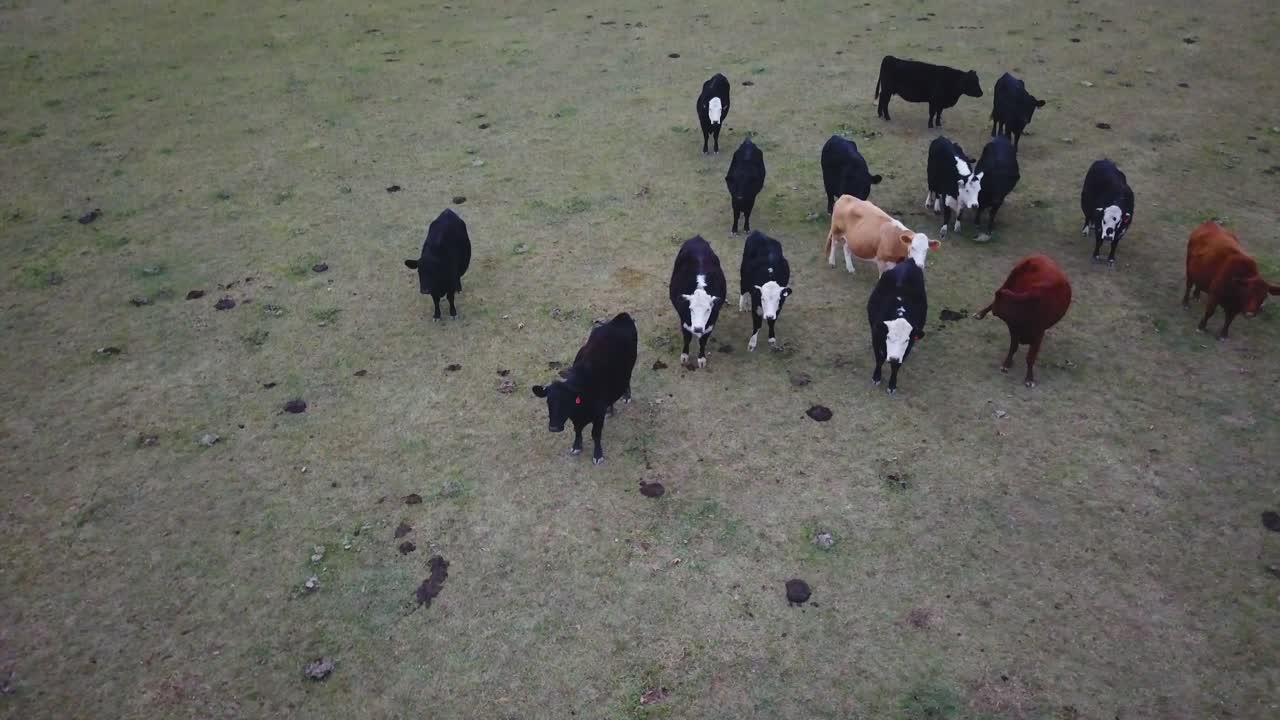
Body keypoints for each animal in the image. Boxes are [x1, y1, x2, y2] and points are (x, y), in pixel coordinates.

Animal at [530, 313, 637, 465]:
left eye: (566, 402)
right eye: (548, 402)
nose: (554, 428)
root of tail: (621, 317)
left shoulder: (598, 416)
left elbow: (595, 435)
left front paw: (597, 455)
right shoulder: (576, 418)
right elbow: (578, 430)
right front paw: (576, 446)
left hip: (629, 367)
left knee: (627, 382)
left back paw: (626, 396)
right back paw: (610, 409)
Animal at [669, 235, 727, 367]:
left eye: (708, 309)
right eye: (690, 309)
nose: (698, 329)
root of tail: (697, 237)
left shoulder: (710, 324)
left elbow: (703, 341)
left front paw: (701, 358)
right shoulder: (685, 321)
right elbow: (687, 338)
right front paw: (684, 356)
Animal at [867, 258, 928, 394]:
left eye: (906, 340)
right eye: (888, 337)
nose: (894, 358)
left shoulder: (909, 346)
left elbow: (896, 366)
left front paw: (892, 385)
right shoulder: (876, 337)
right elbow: (879, 358)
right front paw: (876, 377)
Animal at [973, 254, 1072, 388]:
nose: (994, 310)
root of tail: (1039, 256)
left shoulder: (1038, 334)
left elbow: (1030, 357)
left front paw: (1029, 379)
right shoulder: (1013, 329)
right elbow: (1013, 347)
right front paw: (1006, 364)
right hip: (1009, 280)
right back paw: (980, 314)